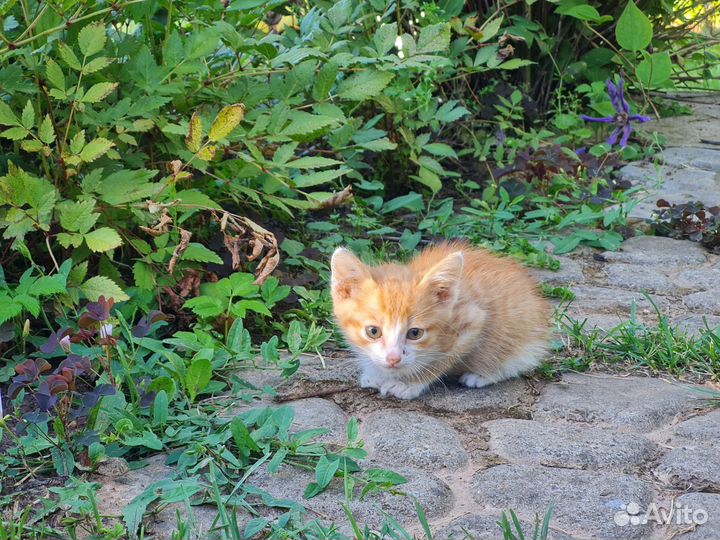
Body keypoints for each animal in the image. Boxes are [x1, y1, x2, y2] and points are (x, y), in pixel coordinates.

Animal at [332, 243, 552, 398]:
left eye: (415, 333)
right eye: (373, 331)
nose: (393, 359)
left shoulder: (472, 321)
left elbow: (440, 361)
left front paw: (409, 383)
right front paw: (376, 373)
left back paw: (483, 374)